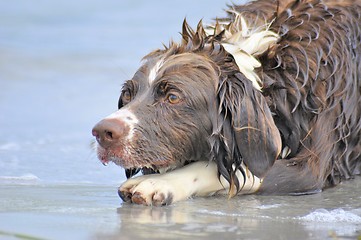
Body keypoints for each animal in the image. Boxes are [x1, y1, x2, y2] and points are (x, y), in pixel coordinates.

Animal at [91, 0, 360, 206]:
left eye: (173, 97)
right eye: (128, 94)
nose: (102, 132)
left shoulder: (309, 169)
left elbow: (231, 171)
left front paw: (159, 183)